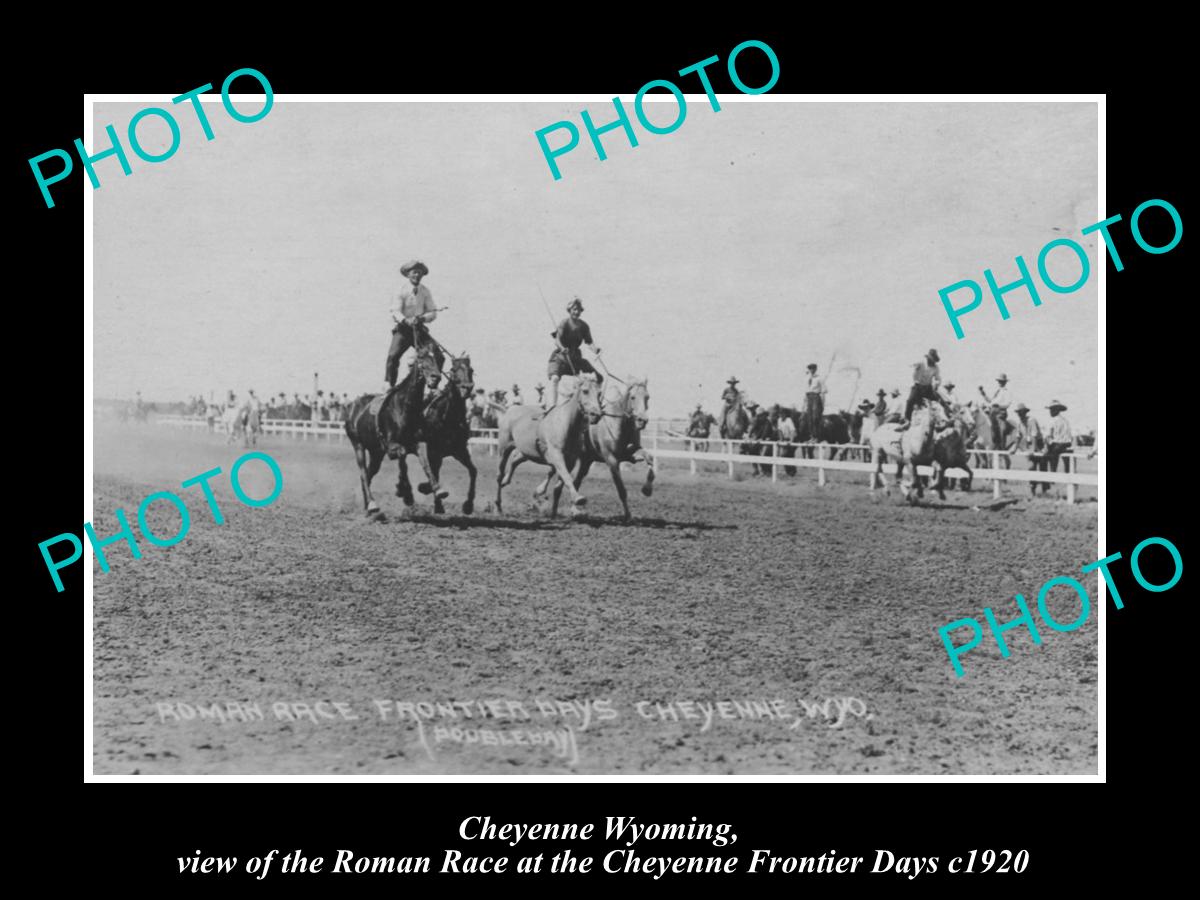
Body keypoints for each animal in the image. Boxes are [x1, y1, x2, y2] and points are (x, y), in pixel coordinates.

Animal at [496, 372, 604, 513]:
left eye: (599, 393)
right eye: (585, 391)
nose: (596, 414)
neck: (566, 425)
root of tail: (509, 411)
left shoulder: (571, 460)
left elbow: (560, 485)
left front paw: (554, 512)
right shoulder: (557, 455)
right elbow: (567, 477)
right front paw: (579, 498)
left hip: (527, 452)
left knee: (515, 460)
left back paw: (506, 481)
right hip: (504, 449)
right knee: (500, 473)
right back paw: (498, 504)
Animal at [547, 379, 657, 520]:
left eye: (647, 397)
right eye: (633, 397)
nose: (642, 420)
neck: (617, 424)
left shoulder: (632, 452)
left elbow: (650, 459)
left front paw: (647, 489)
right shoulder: (611, 460)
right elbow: (621, 489)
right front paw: (627, 515)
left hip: (586, 461)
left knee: (576, 481)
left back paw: (574, 509)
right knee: (554, 475)